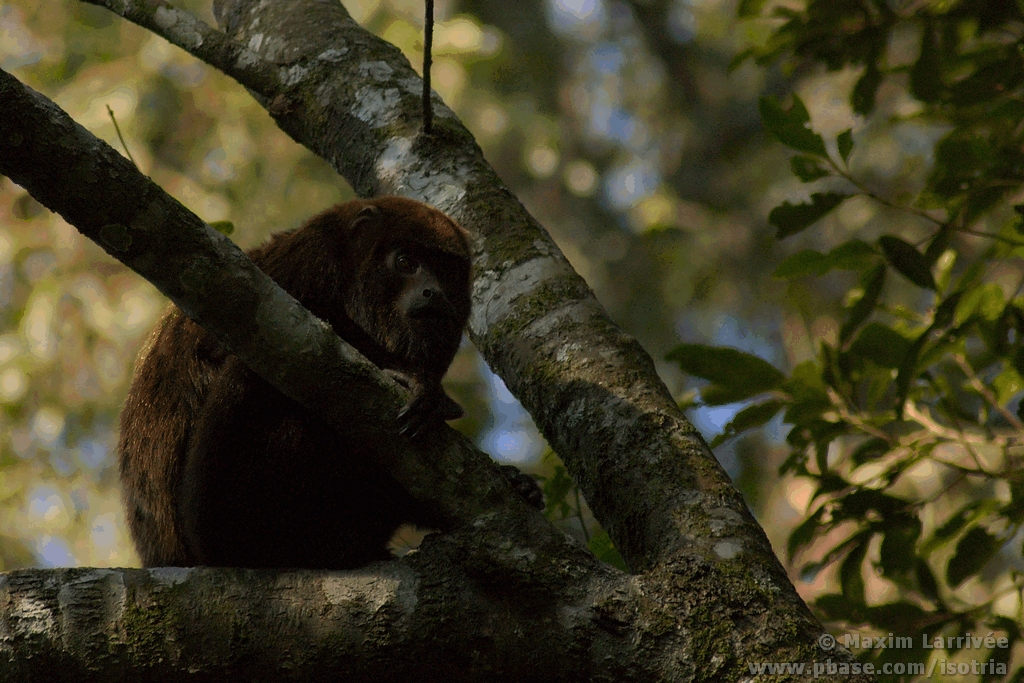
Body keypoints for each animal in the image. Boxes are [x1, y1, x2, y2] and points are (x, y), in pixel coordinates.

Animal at [120, 198, 544, 573]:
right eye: (405, 262)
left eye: (445, 271)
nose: (434, 293)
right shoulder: (305, 262)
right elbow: (220, 345)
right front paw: (419, 386)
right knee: (249, 375)